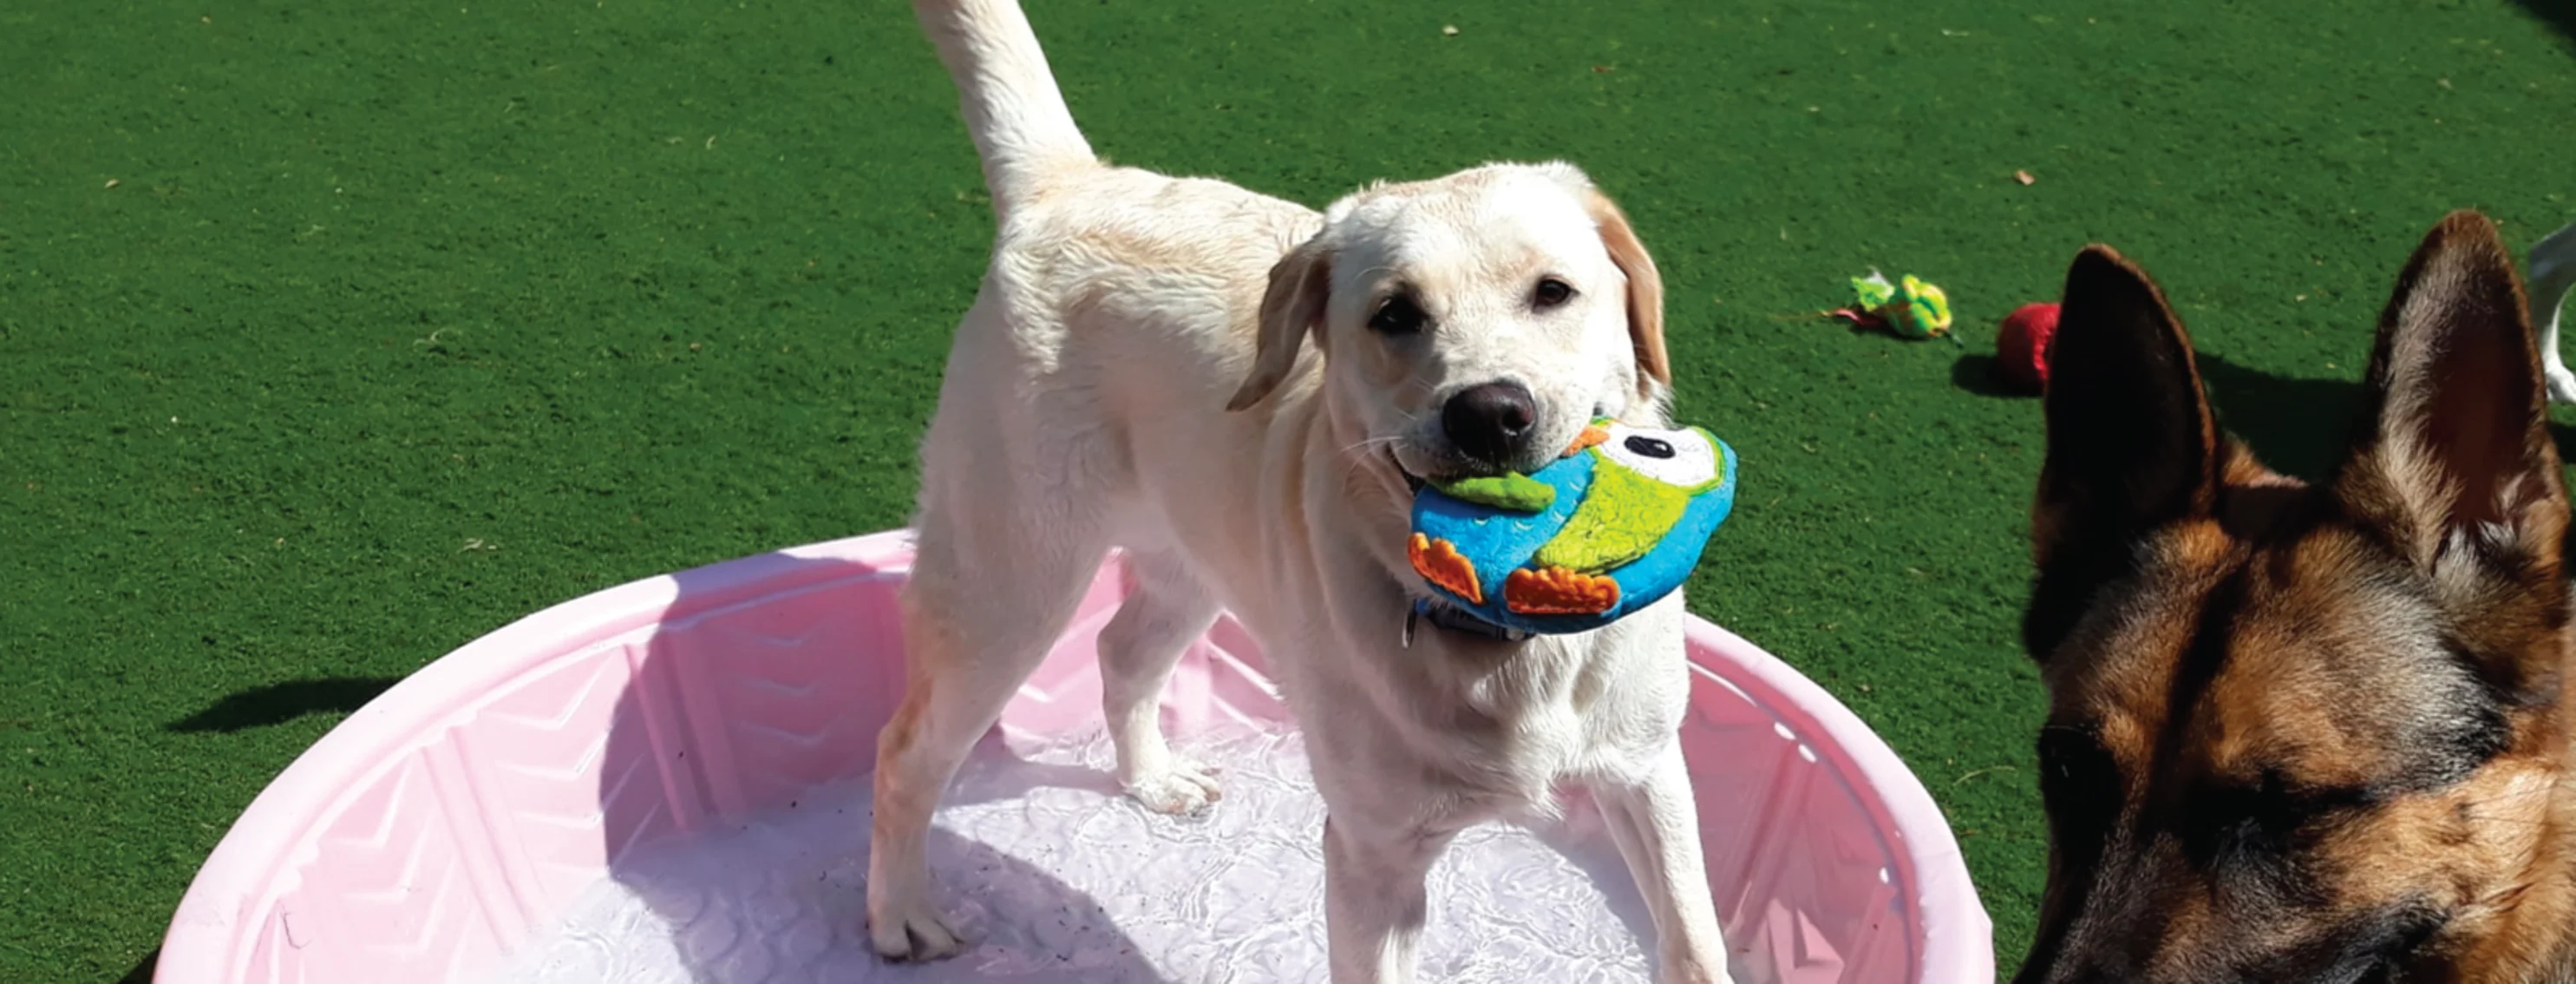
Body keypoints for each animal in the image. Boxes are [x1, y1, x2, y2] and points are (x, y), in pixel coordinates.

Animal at [875, 2, 1741, 984]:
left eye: (1553, 292)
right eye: (1395, 315)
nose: (1490, 414)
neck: (1508, 639)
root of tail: (1073, 184)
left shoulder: (1650, 775)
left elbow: (1693, 938)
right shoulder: (1372, 853)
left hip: (1197, 552)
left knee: (1121, 651)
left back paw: (1152, 778)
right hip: (1009, 582)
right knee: (907, 750)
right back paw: (900, 913)